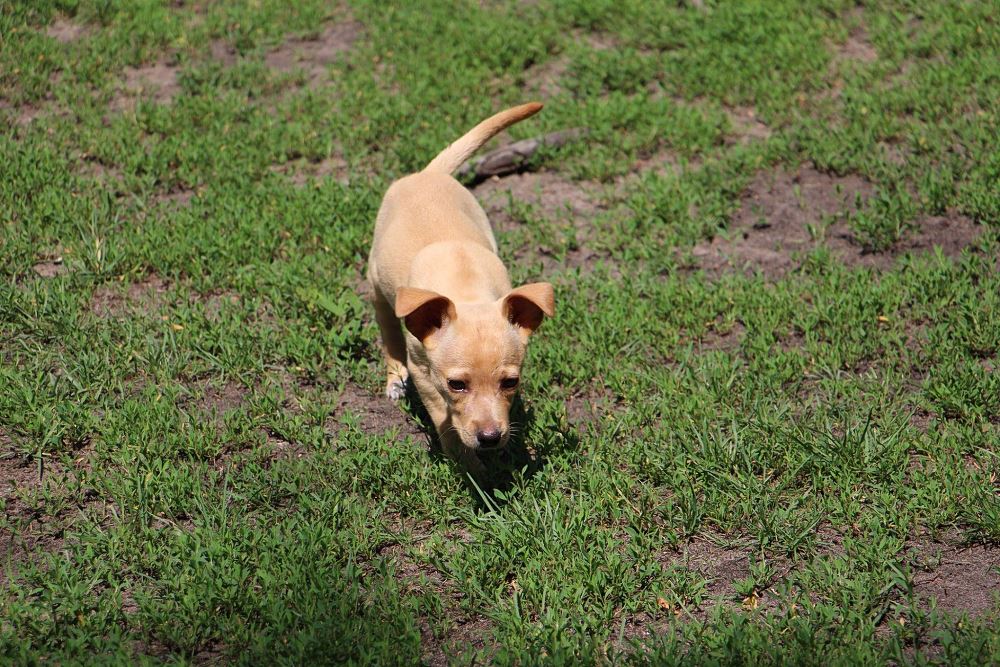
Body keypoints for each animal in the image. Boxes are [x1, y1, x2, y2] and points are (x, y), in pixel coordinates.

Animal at [367, 102, 554, 471]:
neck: (466, 291)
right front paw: (473, 468)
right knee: (387, 325)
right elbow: (447, 425)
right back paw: (394, 377)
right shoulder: (424, 375)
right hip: (376, 279)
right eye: (456, 385)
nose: (490, 438)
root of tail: (427, 173)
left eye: (510, 382)